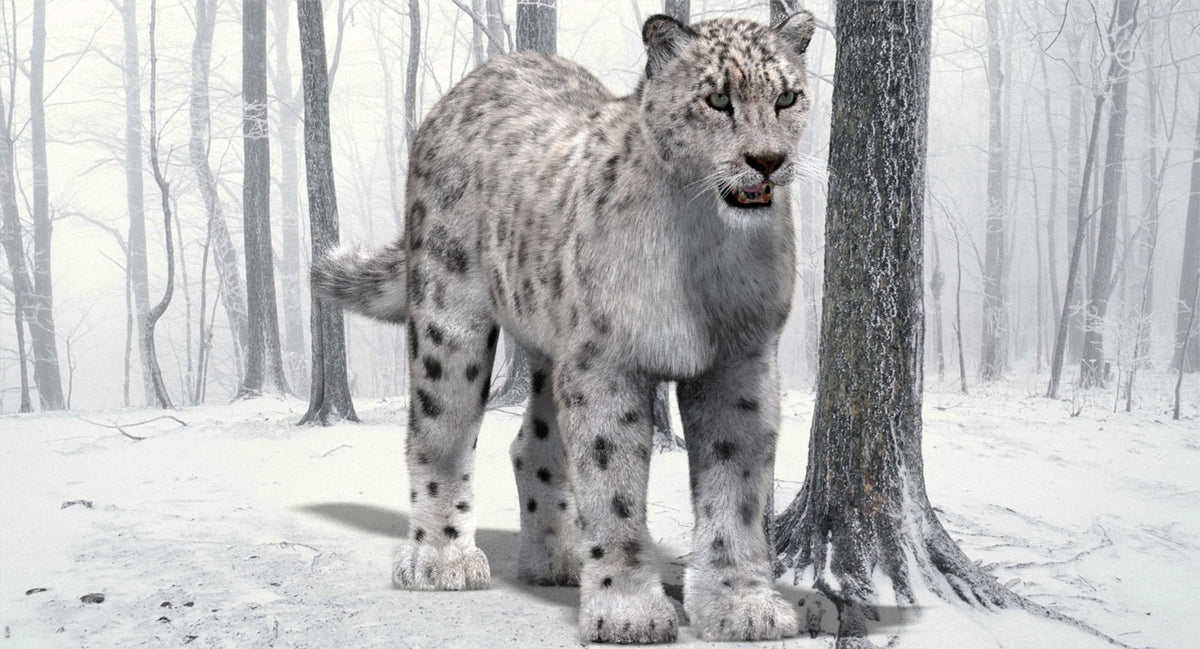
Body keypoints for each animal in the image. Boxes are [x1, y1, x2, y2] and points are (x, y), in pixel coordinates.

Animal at [312, 11, 816, 644]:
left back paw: (558, 559)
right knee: (438, 432)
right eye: (717, 98)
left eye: (787, 97)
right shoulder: (607, 364)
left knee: (533, 443)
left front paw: (741, 605)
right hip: (451, 323)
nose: (767, 159)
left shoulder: (740, 364)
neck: (706, 246)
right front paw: (627, 611)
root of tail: (475, 80)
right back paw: (441, 560)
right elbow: (613, 485)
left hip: (557, 347)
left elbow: (738, 489)